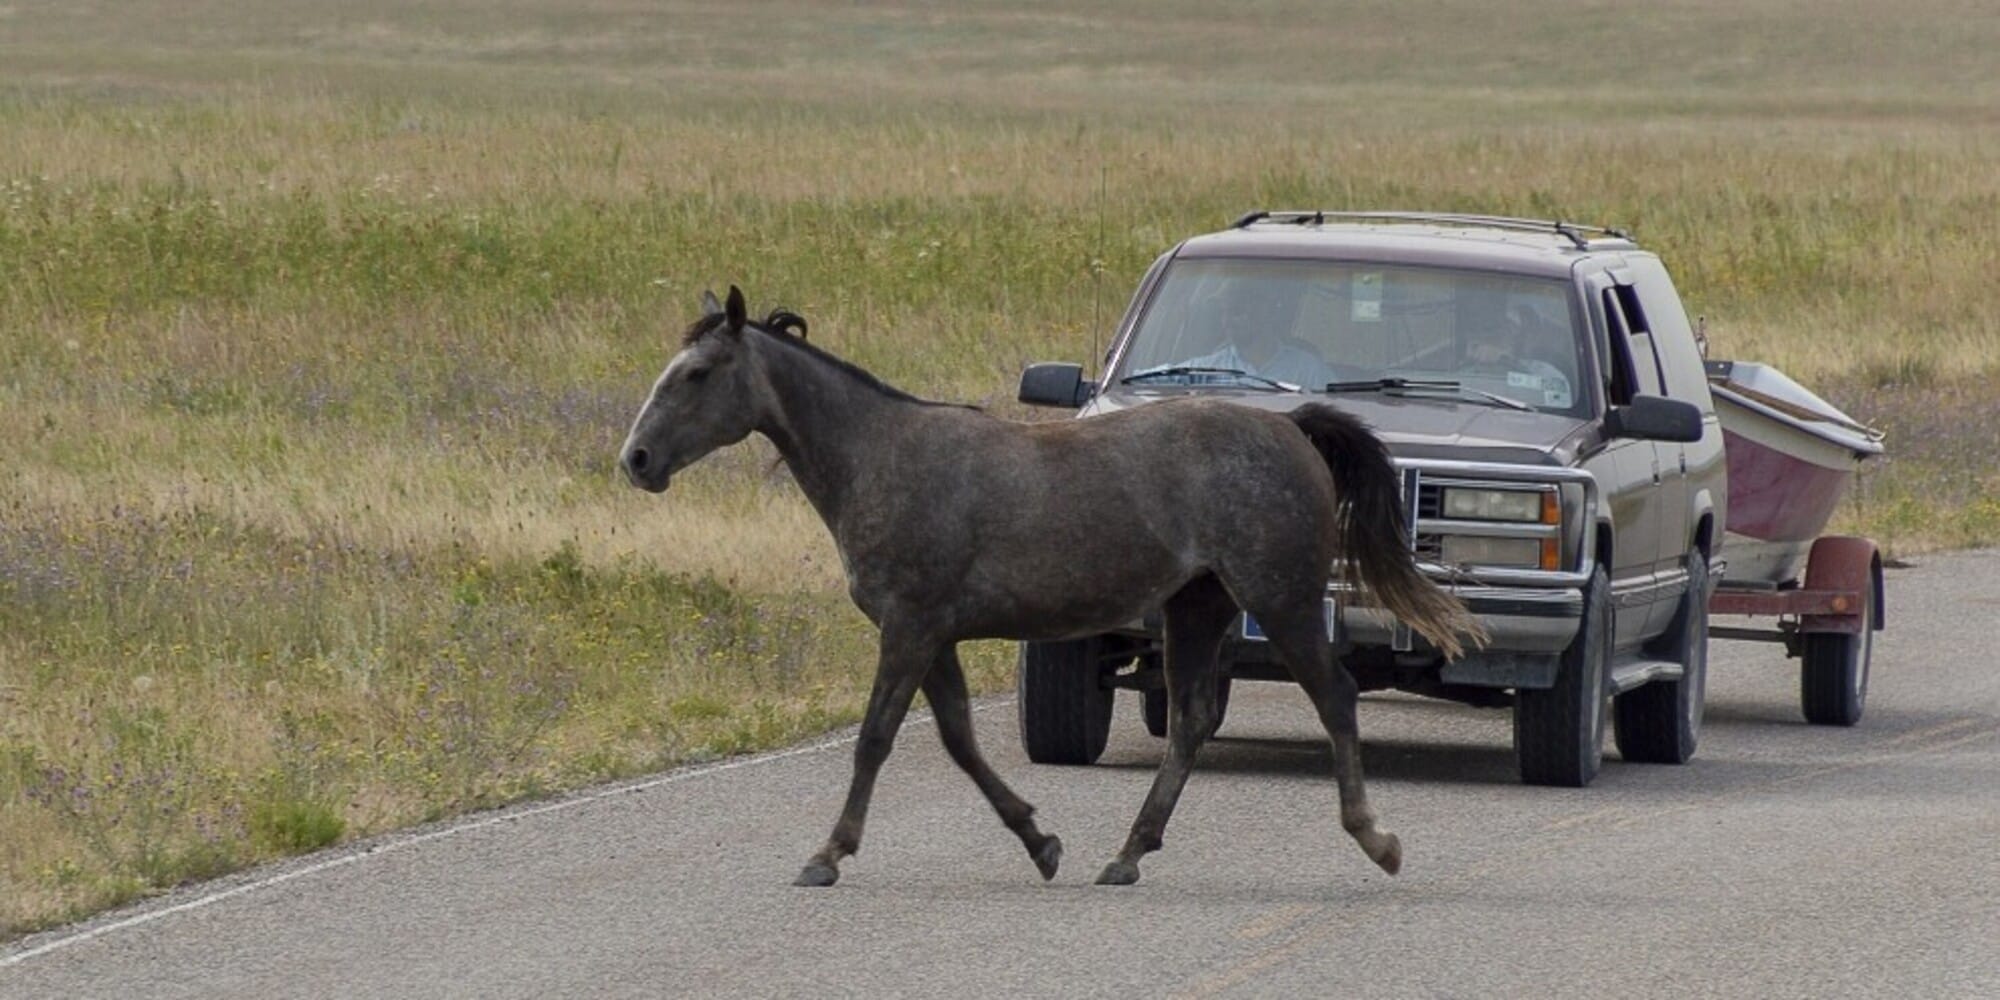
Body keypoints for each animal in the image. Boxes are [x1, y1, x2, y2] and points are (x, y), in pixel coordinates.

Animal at [619, 286, 1479, 887]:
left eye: (697, 374)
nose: (636, 460)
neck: (881, 457)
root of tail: (1290, 425)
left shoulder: (908, 628)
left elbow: (875, 739)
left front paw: (828, 854)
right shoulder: (935, 636)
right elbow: (960, 741)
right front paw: (1041, 843)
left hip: (1284, 601)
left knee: (1333, 698)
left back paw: (1376, 840)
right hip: (1197, 607)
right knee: (1194, 719)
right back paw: (1127, 854)